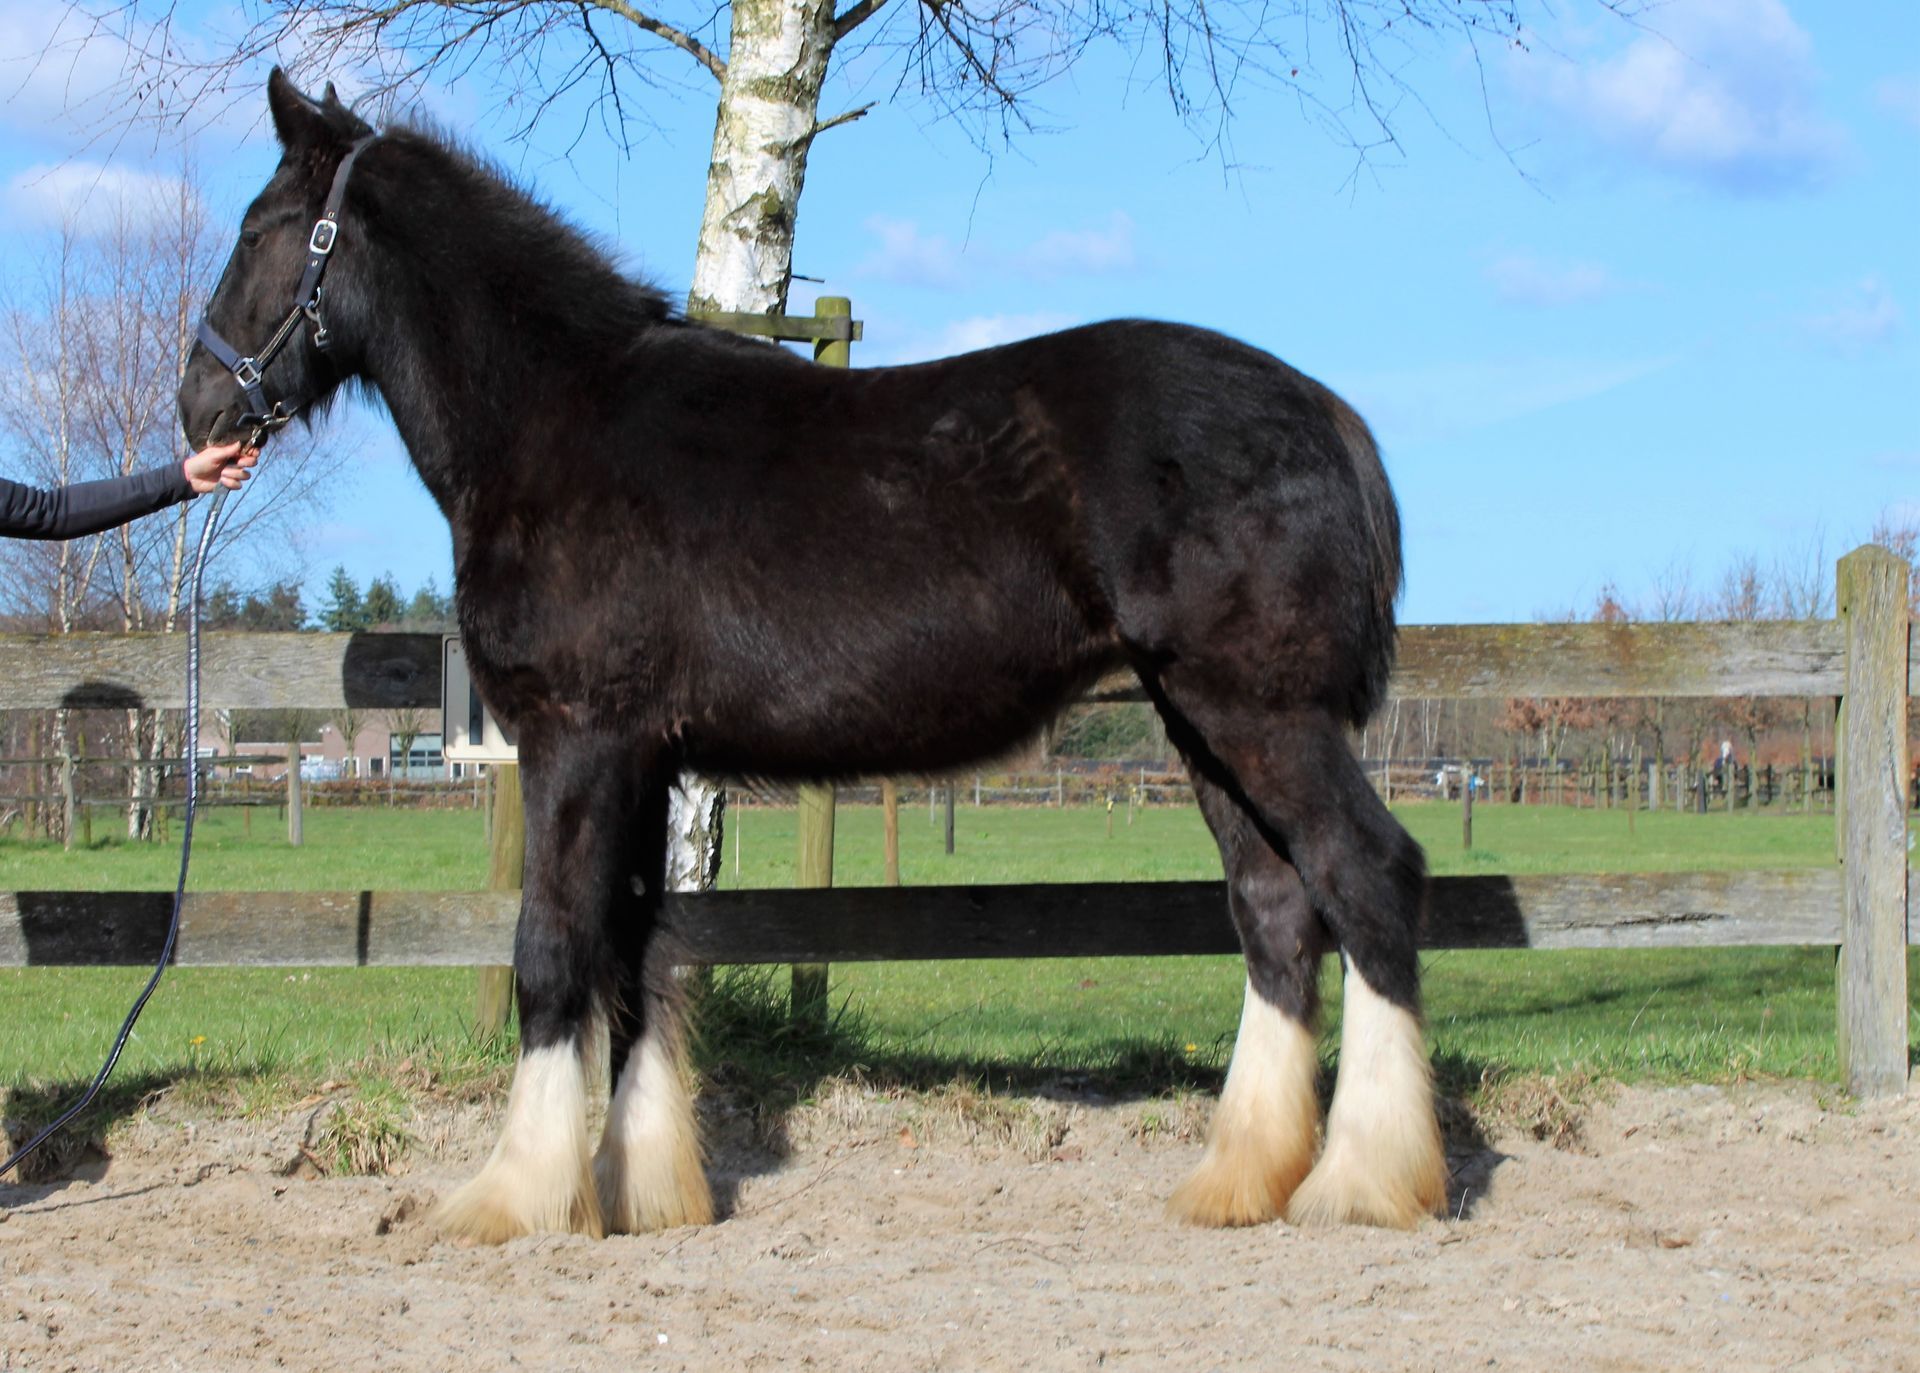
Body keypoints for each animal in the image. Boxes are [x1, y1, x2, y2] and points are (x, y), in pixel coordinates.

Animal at [179, 70, 1446, 1243]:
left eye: (258, 229)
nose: (198, 410)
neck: (558, 415)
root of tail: (1328, 413)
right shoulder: (644, 757)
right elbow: (638, 952)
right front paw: (645, 1190)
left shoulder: (577, 739)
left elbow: (554, 947)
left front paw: (511, 1196)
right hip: (1202, 723)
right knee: (1276, 907)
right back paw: (1242, 1179)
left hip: (1261, 713)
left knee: (1367, 874)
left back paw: (1364, 1180)